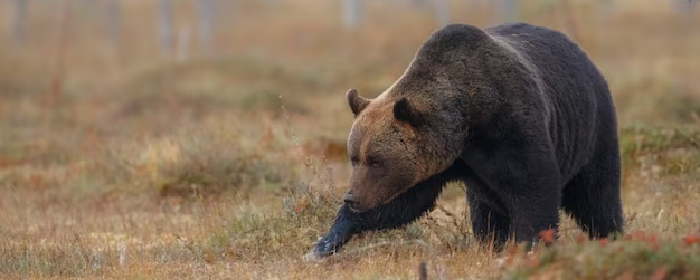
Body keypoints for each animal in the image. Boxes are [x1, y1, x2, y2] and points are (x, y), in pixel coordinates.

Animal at [306, 21, 624, 260]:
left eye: (376, 160)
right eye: (354, 157)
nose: (351, 197)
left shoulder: (511, 128)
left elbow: (534, 189)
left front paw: (530, 247)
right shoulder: (438, 162)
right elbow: (401, 204)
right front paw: (323, 243)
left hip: (591, 129)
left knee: (597, 195)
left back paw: (612, 236)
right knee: (486, 211)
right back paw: (490, 243)